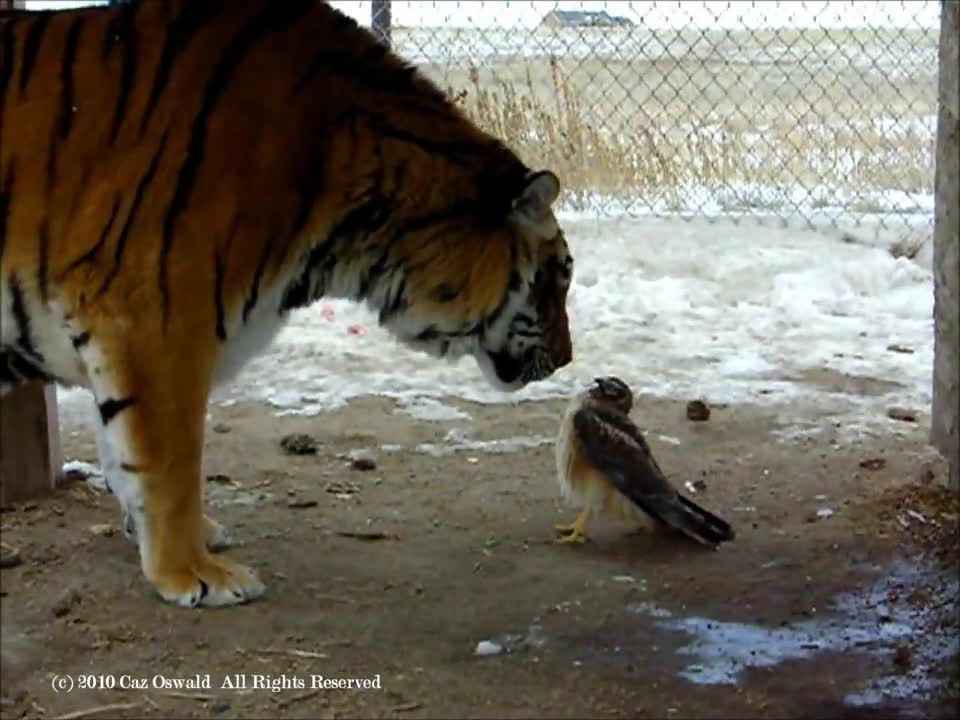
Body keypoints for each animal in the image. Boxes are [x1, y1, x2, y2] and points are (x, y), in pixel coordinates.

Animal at [0, 0, 572, 612]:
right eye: (558, 276)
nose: (566, 359)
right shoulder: (158, 322)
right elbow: (169, 463)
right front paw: (193, 573)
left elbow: (122, 452)